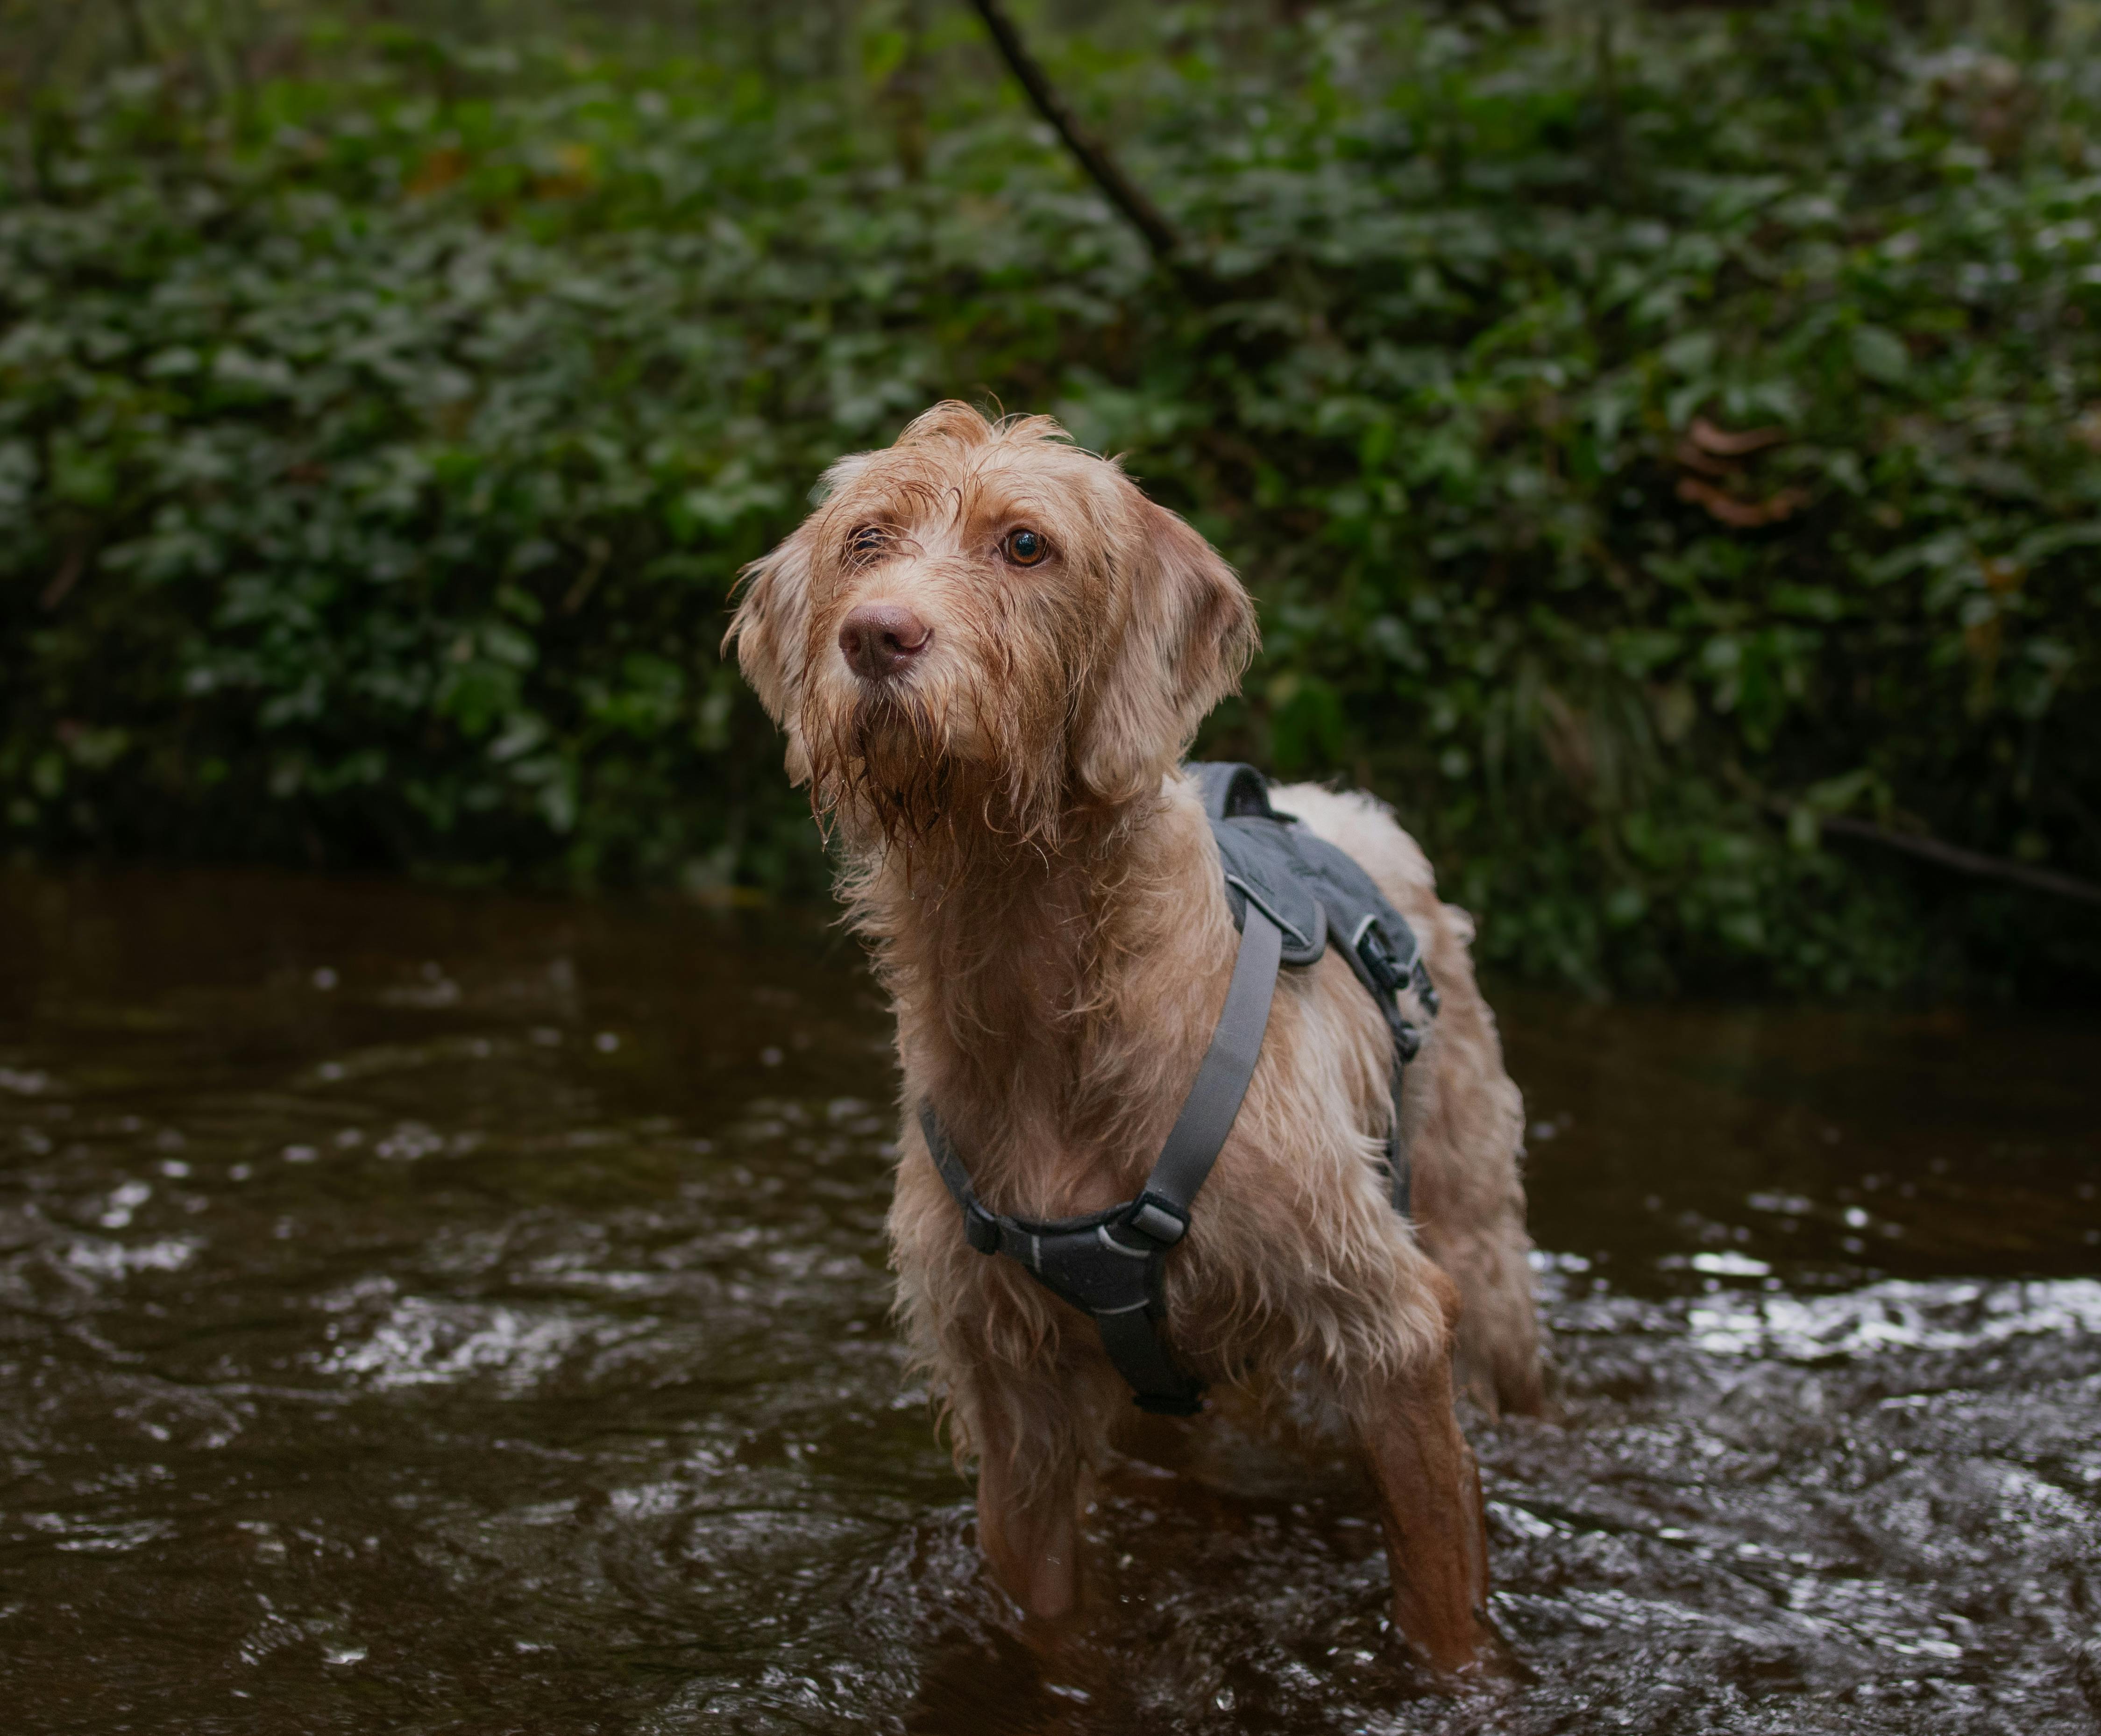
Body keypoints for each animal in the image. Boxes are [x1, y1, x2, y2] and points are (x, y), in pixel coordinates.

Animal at [723, 399, 1546, 1673]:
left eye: (1025, 544)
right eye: (865, 540)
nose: (875, 635)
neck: (1043, 993)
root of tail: (1343, 806)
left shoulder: (1389, 1325)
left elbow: (1438, 1594)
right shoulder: (1013, 1399)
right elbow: (1044, 1612)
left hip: (1481, 1243)